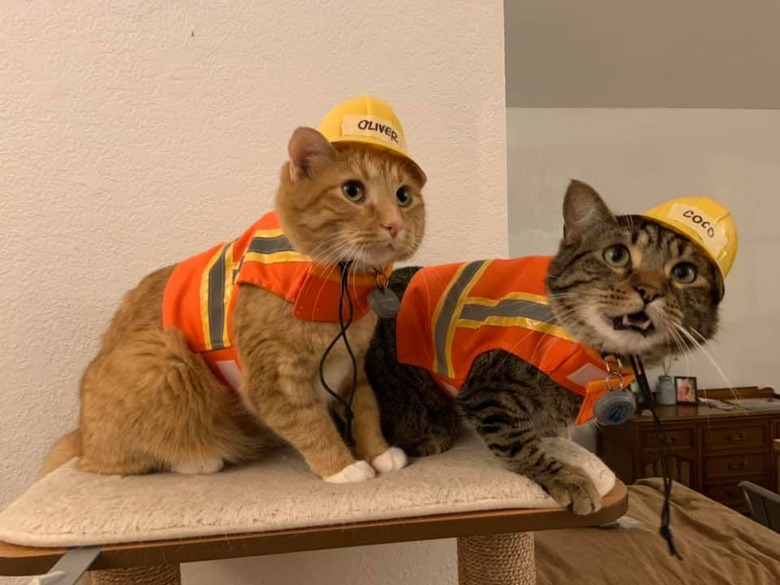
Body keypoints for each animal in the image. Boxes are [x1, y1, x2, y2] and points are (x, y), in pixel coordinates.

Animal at [42, 98, 426, 484]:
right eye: (353, 191)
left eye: (403, 196)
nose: (394, 224)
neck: (338, 288)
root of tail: (81, 435)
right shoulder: (273, 383)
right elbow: (311, 425)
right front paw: (342, 467)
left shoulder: (352, 367)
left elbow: (366, 410)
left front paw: (378, 453)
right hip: (165, 356)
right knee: (122, 460)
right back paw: (198, 459)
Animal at [368, 180, 724, 512]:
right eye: (616, 255)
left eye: (684, 273)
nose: (649, 291)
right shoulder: (488, 393)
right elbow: (520, 443)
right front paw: (567, 478)